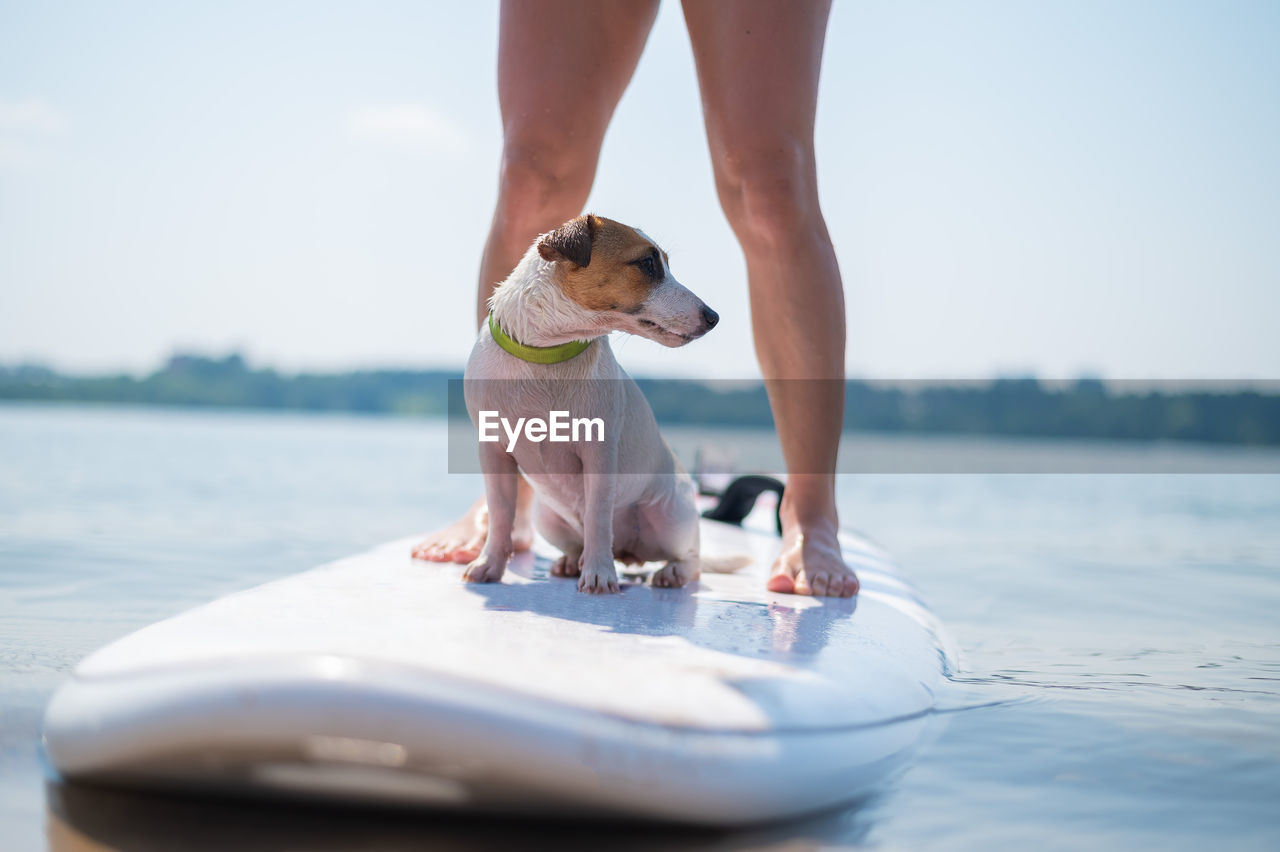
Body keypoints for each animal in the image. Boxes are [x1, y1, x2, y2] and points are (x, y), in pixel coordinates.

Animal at [460, 212, 747, 593]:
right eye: (647, 263)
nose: (713, 317)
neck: (547, 354)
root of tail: (628, 551)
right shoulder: (493, 453)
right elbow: (501, 513)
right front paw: (489, 563)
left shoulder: (598, 456)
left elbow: (598, 516)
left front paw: (599, 574)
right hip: (547, 517)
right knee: (575, 542)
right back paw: (572, 561)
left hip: (670, 517)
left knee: (691, 560)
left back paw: (667, 572)